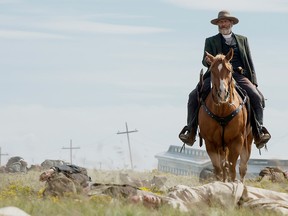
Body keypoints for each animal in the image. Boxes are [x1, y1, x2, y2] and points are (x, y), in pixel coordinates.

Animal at [198, 49, 252, 182]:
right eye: (212, 71)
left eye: (229, 70)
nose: (222, 94)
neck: (222, 110)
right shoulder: (210, 143)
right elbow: (219, 169)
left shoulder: (237, 141)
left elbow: (232, 170)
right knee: (224, 167)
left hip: (248, 140)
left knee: (242, 167)